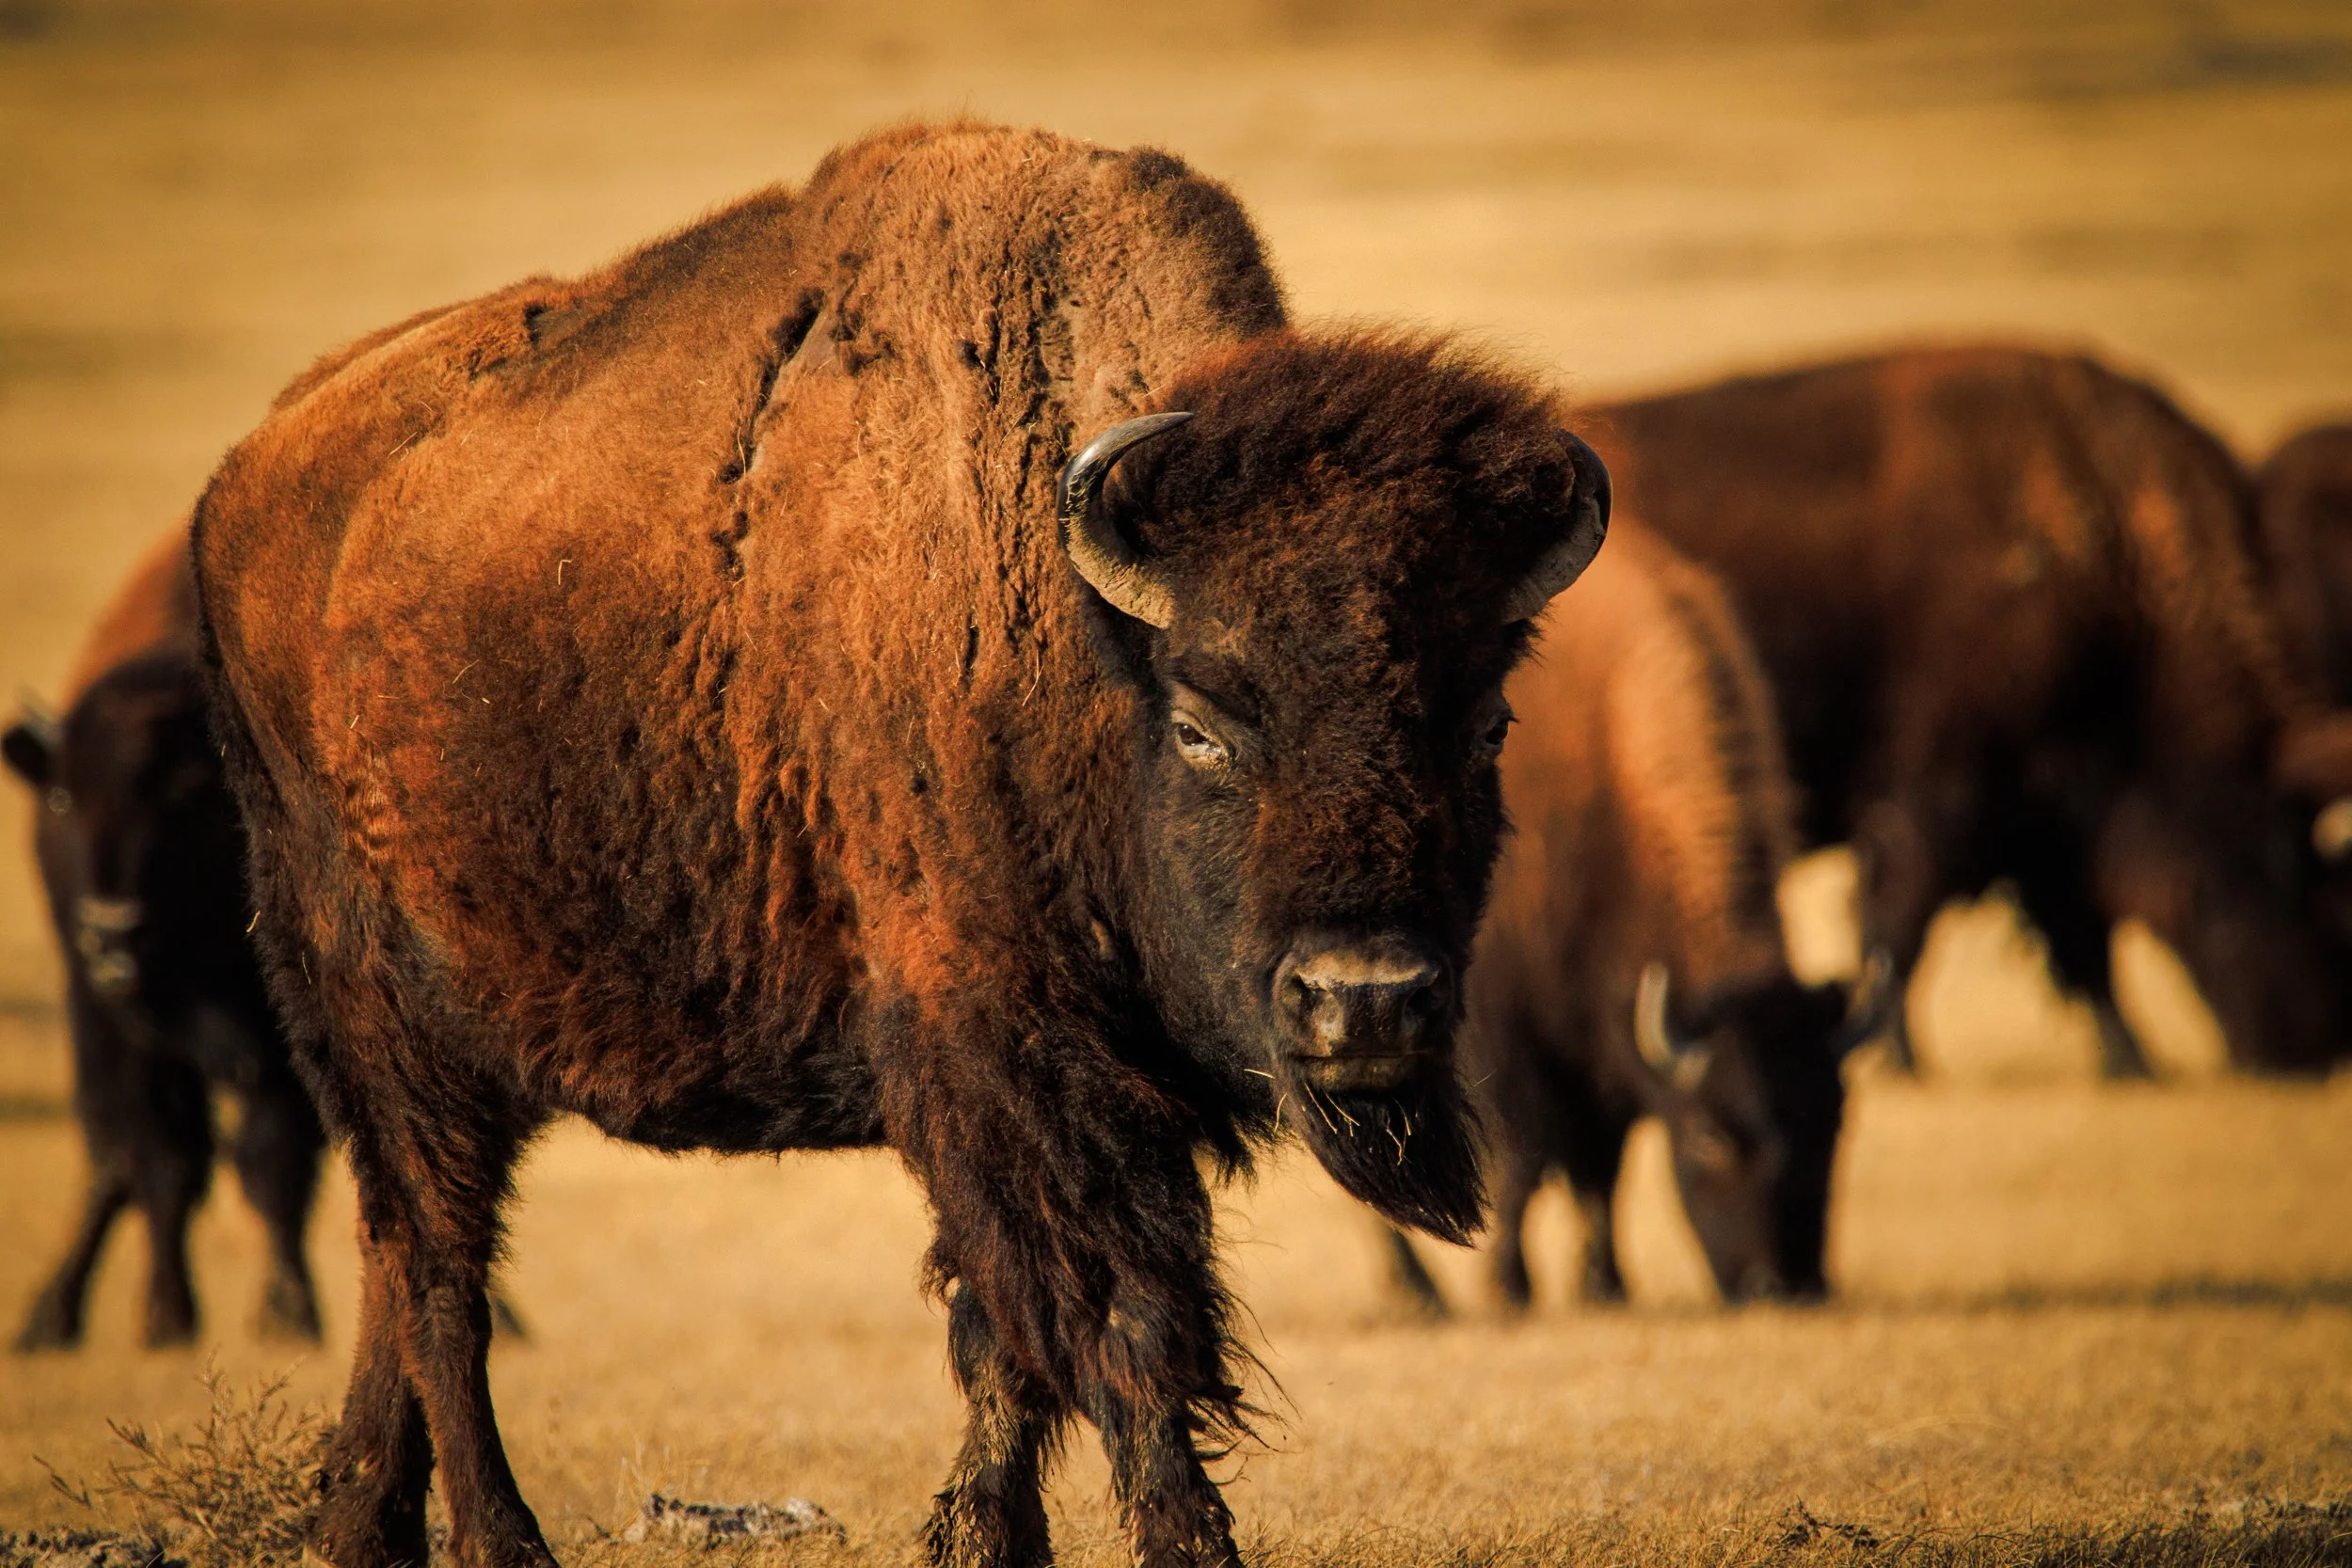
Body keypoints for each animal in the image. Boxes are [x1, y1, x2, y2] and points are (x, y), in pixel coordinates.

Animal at [3, 530, 325, 1351]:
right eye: (63, 796)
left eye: (186, 793)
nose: (112, 928)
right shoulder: (111, 1022)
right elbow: (151, 1156)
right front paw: (165, 1314)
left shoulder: (278, 1037)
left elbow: (271, 1158)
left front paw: (288, 1311)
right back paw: (54, 1313)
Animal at [192, 123, 1611, 1568]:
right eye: (1204, 722)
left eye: (1488, 721)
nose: (1362, 999)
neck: (1074, 619)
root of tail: (247, 475)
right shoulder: (1012, 1064)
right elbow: (1116, 1320)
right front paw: (1178, 1540)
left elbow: (1006, 1339)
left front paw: (984, 1533)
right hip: (380, 1008)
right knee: (439, 1270)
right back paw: (499, 1538)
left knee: (400, 1254)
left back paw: (356, 1519)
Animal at [1384, 526, 1863, 1316]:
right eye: (1707, 1135)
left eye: (1833, 1125)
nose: (1787, 1287)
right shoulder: (1500, 1032)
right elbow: (1520, 1161)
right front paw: (1511, 1289)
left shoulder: (1603, 1037)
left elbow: (1601, 1170)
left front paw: (1606, 1285)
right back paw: (1422, 1294)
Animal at [1604, 346, 2352, 1078]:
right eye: (2292, 867)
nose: (2312, 1051)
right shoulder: (1943, 793)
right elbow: (1900, 925)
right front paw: (1902, 1062)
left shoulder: (2045, 812)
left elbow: (2076, 938)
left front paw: (2132, 1060)